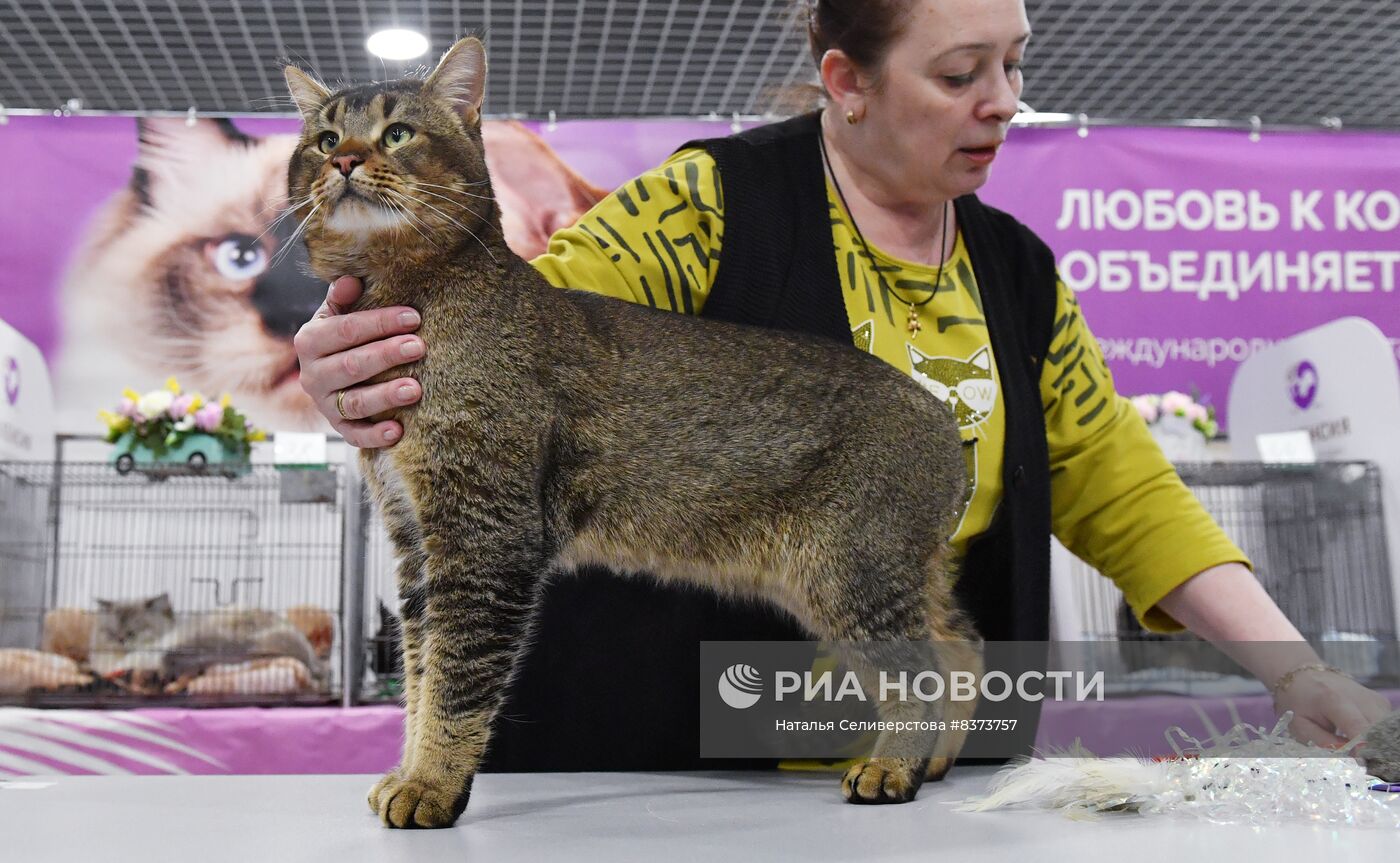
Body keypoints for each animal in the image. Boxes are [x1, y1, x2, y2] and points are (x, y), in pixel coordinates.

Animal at [284, 35, 980, 829]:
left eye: (397, 133)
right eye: (324, 139)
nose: (344, 161)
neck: (410, 295)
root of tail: (940, 414)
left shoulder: (486, 534)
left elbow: (458, 676)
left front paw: (431, 783)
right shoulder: (414, 536)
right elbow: (421, 668)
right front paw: (408, 767)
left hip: (851, 570)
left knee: (921, 670)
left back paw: (894, 766)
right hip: (880, 571)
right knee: (963, 645)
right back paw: (936, 761)